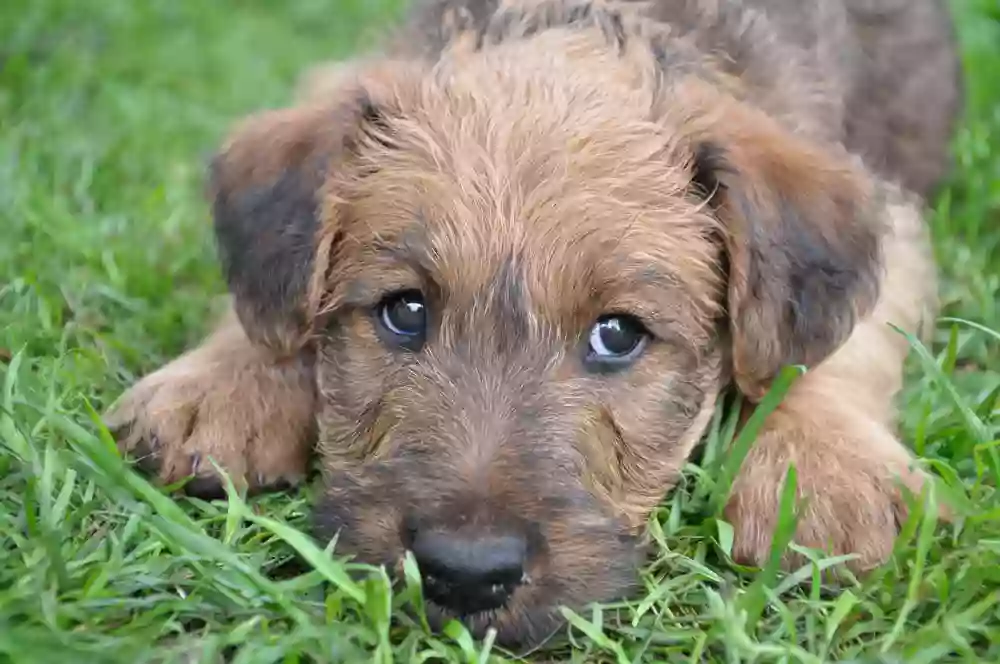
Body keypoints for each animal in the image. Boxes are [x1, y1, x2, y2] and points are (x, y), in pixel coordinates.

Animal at [105, 0, 964, 644]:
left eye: (618, 335)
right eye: (403, 311)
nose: (465, 573)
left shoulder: (893, 220)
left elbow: (831, 347)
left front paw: (823, 470)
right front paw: (221, 381)